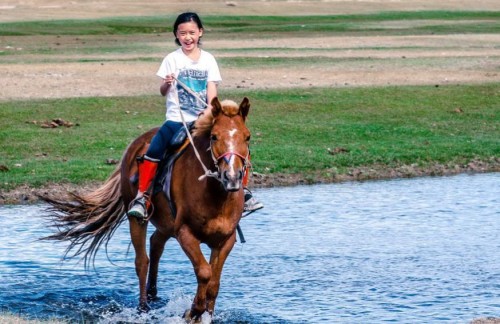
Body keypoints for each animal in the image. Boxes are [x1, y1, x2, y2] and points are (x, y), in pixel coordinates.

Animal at [42, 97, 252, 322]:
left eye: (247, 137)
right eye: (214, 136)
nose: (232, 177)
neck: (215, 196)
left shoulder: (225, 239)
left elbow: (214, 282)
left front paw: (204, 314)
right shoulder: (185, 233)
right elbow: (205, 272)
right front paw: (193, 311)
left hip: (166, 225)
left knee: (156, 243)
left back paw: (153, 294)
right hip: (138, 220)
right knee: (142, 262)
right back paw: (143, 307)